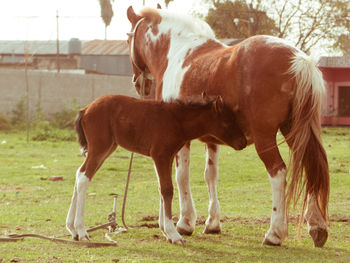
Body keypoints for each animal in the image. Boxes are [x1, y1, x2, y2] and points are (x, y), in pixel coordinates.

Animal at [65, 94, 246, 244]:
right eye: (228, 121)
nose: (243, 142)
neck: (177, 120)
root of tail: (85, 110)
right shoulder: (161, 155)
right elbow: (167, 190)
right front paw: (173, 234)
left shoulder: (168, 157)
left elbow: (162, 188)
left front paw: (166, 232)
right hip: (100, 146)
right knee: (84, 178)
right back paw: (82, 231)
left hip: (108, 147)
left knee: (79, 174)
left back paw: (73, 229)